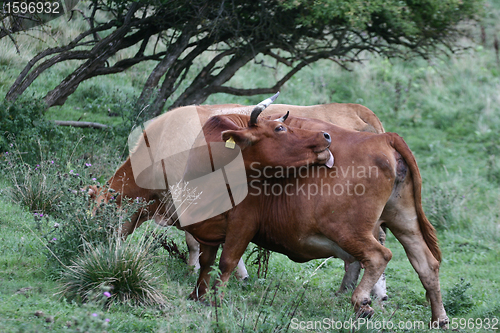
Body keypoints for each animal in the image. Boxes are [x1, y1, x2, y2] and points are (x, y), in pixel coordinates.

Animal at [182, 108, 448, 324]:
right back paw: (439, 318)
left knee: (378, 255)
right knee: (427, 264)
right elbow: (207, 262)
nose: (326, 136)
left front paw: (216, 301)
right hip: (403, 219)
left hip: (347, 230)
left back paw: (361, 301)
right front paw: (197, 296)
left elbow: (226, 261)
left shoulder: (243, 222)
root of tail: (383, 138)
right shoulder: (207, 229)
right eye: (279, 128)